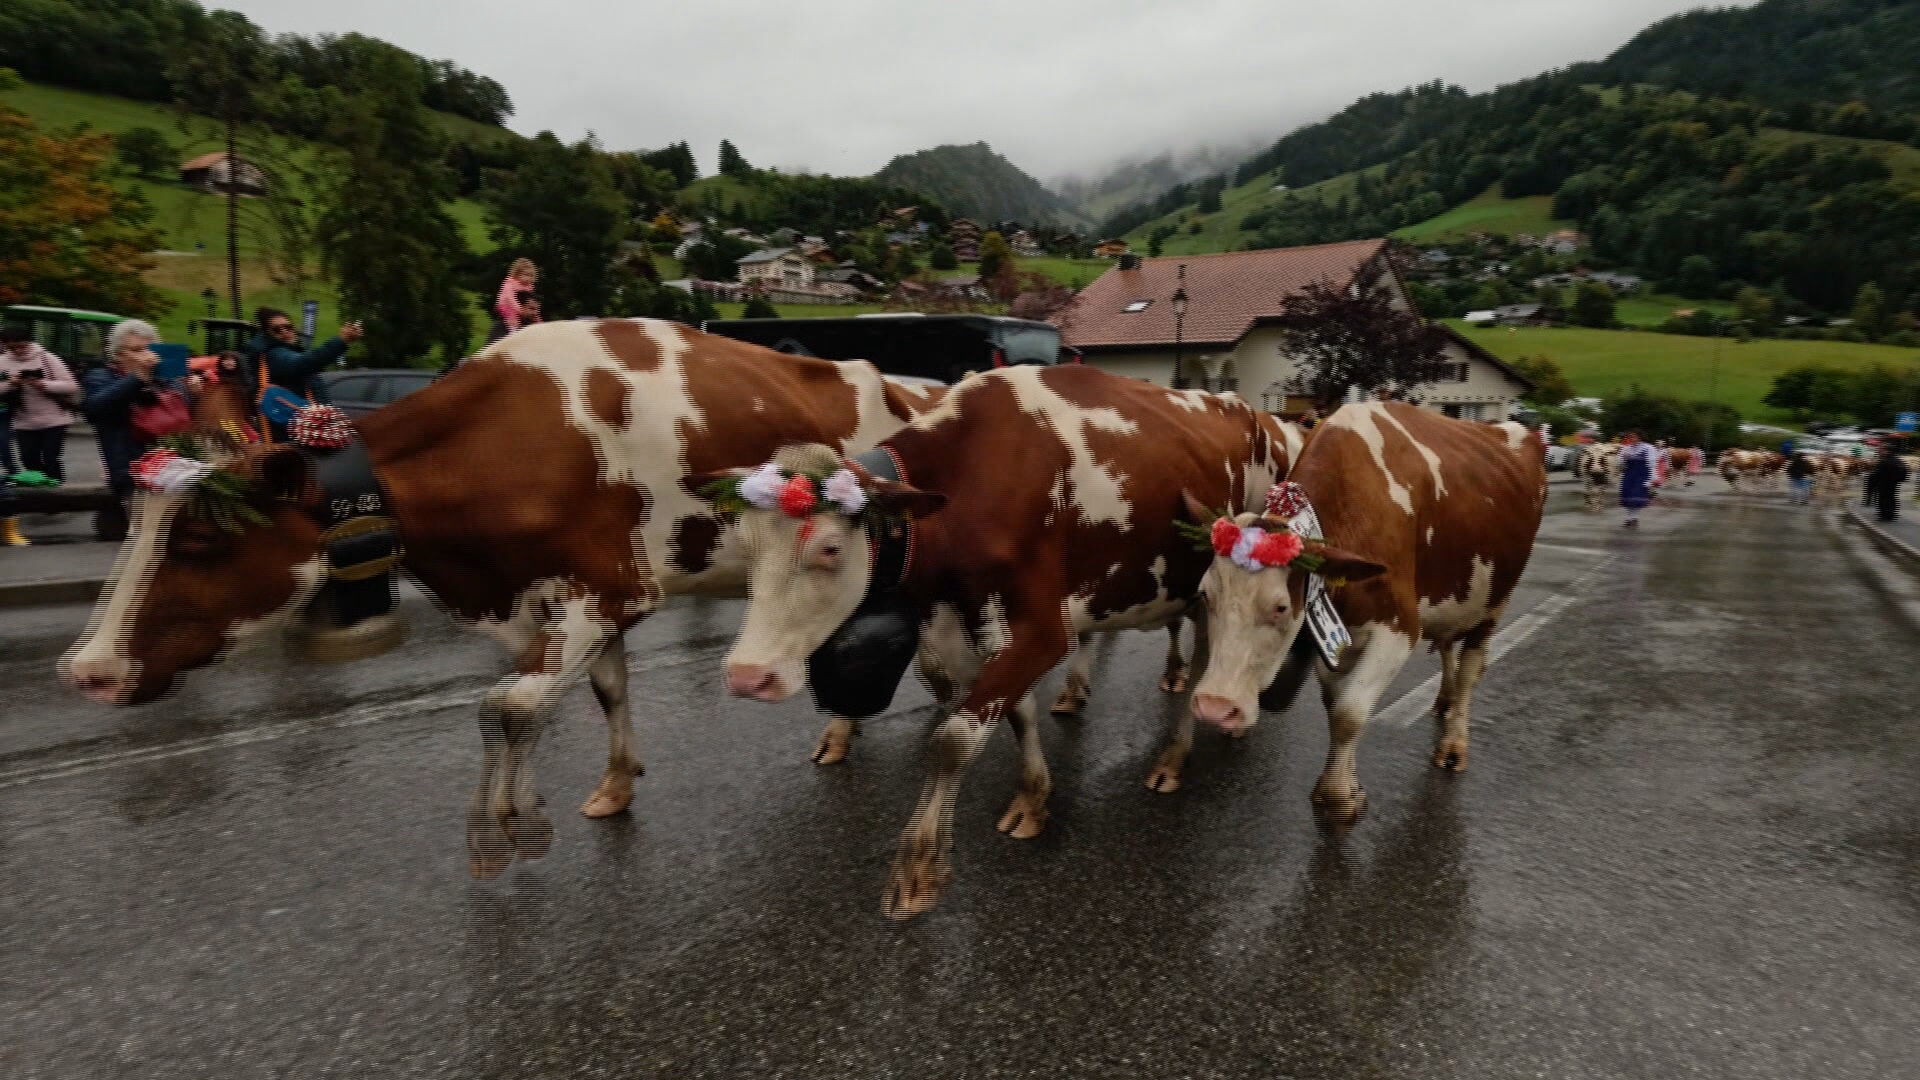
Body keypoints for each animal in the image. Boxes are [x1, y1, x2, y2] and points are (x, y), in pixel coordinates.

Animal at [1182, 401, 1543, 814]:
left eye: (1279, 607)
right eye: (1205, 595)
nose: (1215, 706)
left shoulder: (1400, 628)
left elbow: (1349, 712)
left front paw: (1338, 795)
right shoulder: (1339, 635)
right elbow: (1336, 701)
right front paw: (1349, 780)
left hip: (1496, 601)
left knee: (1470, 668)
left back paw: (1454, 742)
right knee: (1448, 645)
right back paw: (1444, 700)